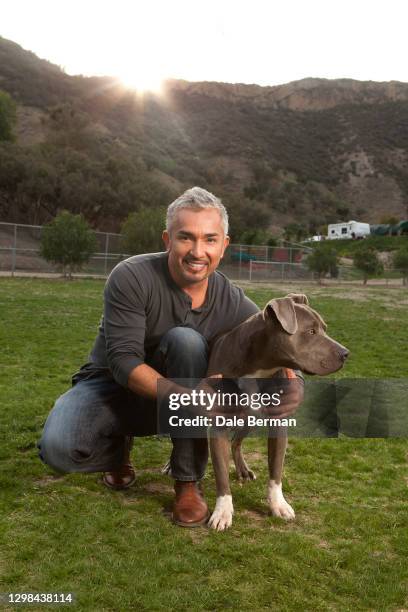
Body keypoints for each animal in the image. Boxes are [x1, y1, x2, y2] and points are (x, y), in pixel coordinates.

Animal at [206, 292, 350, 532]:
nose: (346, 353)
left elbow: (276, 471)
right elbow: (221, 474)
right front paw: (222, 512)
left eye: (324, 328)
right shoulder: (217, 424)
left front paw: (278, 505)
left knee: (237, 442)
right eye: (311, 331)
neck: (259, 368)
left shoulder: (279, 421)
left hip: (250, 418)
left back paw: (243, 470)